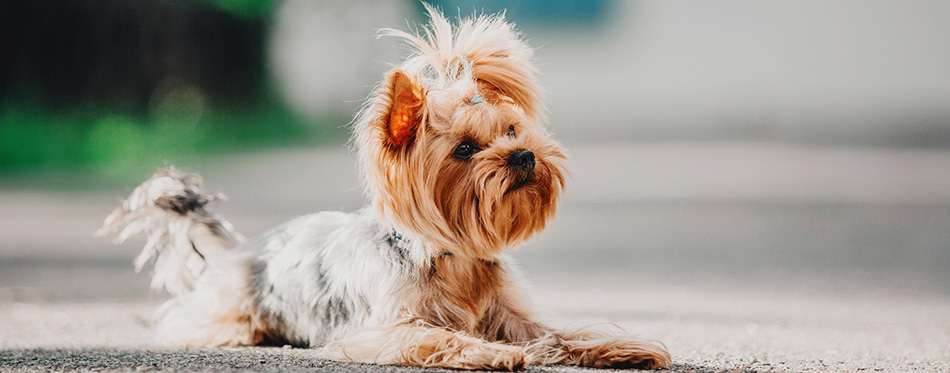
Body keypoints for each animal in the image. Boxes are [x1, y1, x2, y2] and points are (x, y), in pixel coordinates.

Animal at [98, 5, 668, 370]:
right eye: (465, 149)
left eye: (511, 131)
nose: (525, 155)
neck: (452, 256)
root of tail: (243, 249)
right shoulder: (382, 328)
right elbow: (437, 337)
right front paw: (492, 352)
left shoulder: (513, 314)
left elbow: (560, 332)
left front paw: (619, 347)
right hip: (229, 313)